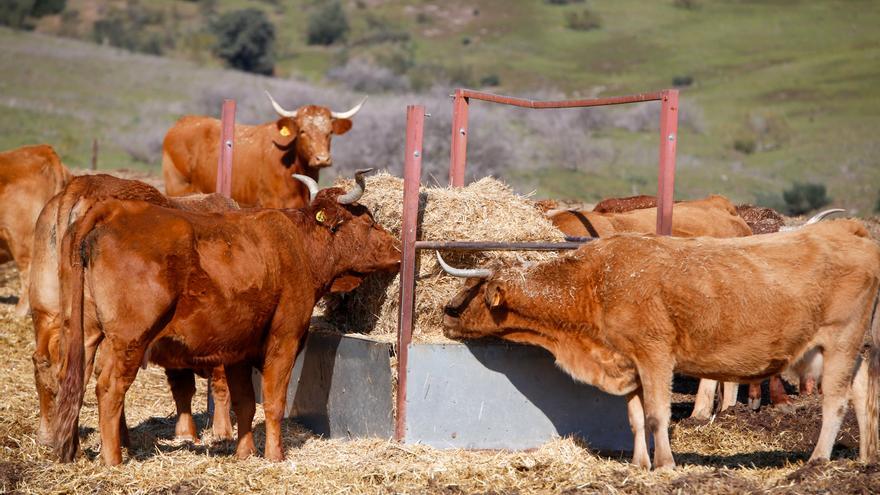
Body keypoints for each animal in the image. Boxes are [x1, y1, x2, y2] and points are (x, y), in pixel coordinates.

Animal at [51, 170, 402, 464]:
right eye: (369, 222)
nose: (399, 248)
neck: (298, 246)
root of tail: (114, 210)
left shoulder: (238, 351)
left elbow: (244, 403)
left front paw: (244, 453)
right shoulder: (284, 339)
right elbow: (273, 402)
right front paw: (274, 455)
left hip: (86, 333)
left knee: (76, 381)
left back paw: (74, 450)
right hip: (130, 340)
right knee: (109, 387)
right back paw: (113, 459)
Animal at [438, 222, 880, 472]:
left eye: (473, 287)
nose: (445, 313)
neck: (595, 283)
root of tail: (855, 235)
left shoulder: (654, 356)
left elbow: (656, 415)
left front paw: (665, 465)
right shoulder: (627, 362)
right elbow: (635, 419)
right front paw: (639, 464)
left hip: (840, 342)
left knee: (836, 401)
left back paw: (816, 462)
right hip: (855, 348)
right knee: (861, 394)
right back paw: (864, 458)